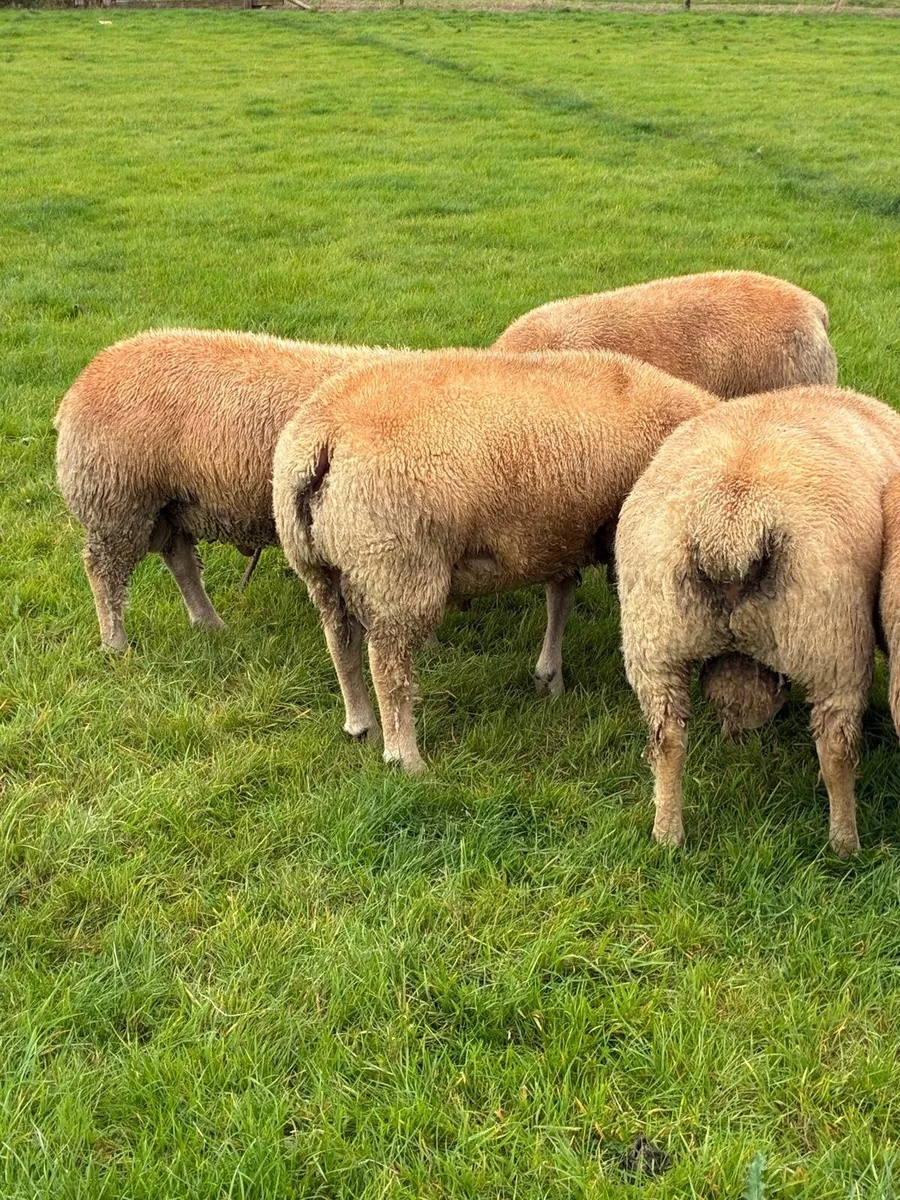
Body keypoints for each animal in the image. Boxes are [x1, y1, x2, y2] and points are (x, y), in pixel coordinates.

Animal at [55, 329, 391, 650]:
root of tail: (85, 378)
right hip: (116, 501)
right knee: (104, 571)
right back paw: (116, 643)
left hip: (170, 504)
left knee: (181, 560)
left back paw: (208, 623)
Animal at [272, 348, 718, 773]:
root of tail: (321, 440)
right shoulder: (612, 535)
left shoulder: (559, 533)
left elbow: (560, 597)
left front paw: (549, 677)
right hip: (396, 567)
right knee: (389, 668)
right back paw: (406, 758)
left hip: (319, 566)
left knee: (340, 641)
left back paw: (360, 725)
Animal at [615, 386, 900, 857]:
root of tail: (731, 525)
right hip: (832, 644)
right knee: (836, 749)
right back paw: (845, 844)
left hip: (654, 641)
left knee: (667, 740)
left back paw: (667, 833)